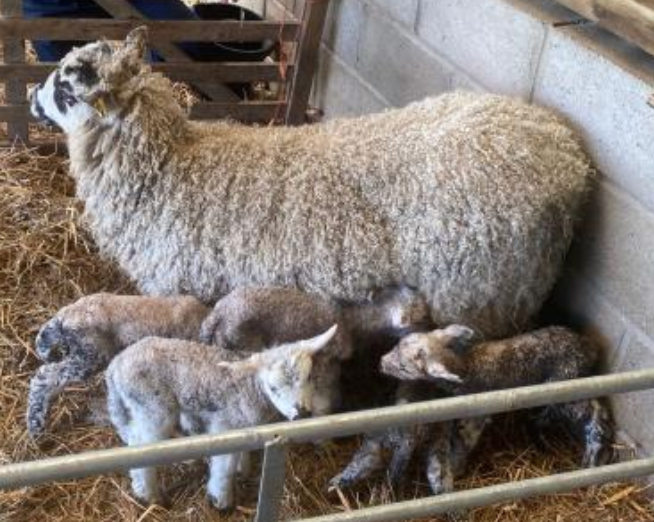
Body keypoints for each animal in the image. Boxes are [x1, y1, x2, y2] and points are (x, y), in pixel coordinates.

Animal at [29, 27, 594, 341]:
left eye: (67, 86)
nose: (33, 97)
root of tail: (564, 152)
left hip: (482, 294)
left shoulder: (180, 290)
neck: (169, 166)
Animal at [105, 326, 337, 509]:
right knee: (141, 447)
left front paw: (243, 470)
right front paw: (222, 500)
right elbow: (224, 468)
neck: (252, 388)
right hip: (153, 406)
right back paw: (149, 495)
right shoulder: (226, 425)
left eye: (309, 377)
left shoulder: (243, 424)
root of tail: (116, 364)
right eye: (273, 388)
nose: (302, 413)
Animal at [374, 325, 613, 493]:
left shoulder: (475, 418)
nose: (381, 362)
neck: (466, 365)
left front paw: (457, 468)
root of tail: (588, 346)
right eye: (397, 344)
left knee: (592, 414)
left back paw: (593, 455)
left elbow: (465, 443)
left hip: (564, 384)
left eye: (404, 368)